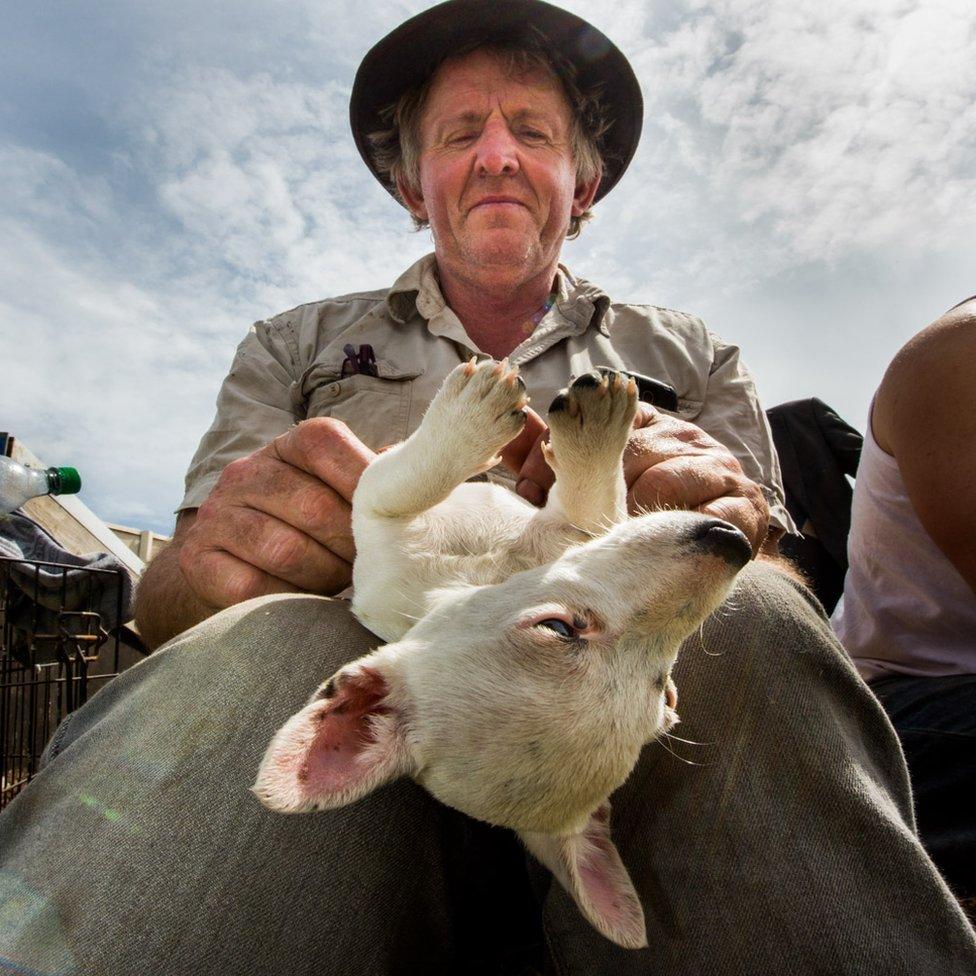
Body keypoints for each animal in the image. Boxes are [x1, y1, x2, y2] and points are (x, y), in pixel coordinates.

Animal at [252, 358, 748, 944]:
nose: (735, 543)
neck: (492, 567)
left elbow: (593, 504)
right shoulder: (378, 514)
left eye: (661, 690)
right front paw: (479, 417)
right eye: (559, 628)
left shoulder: (571, 527)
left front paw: (586, 424)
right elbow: (408, 480)